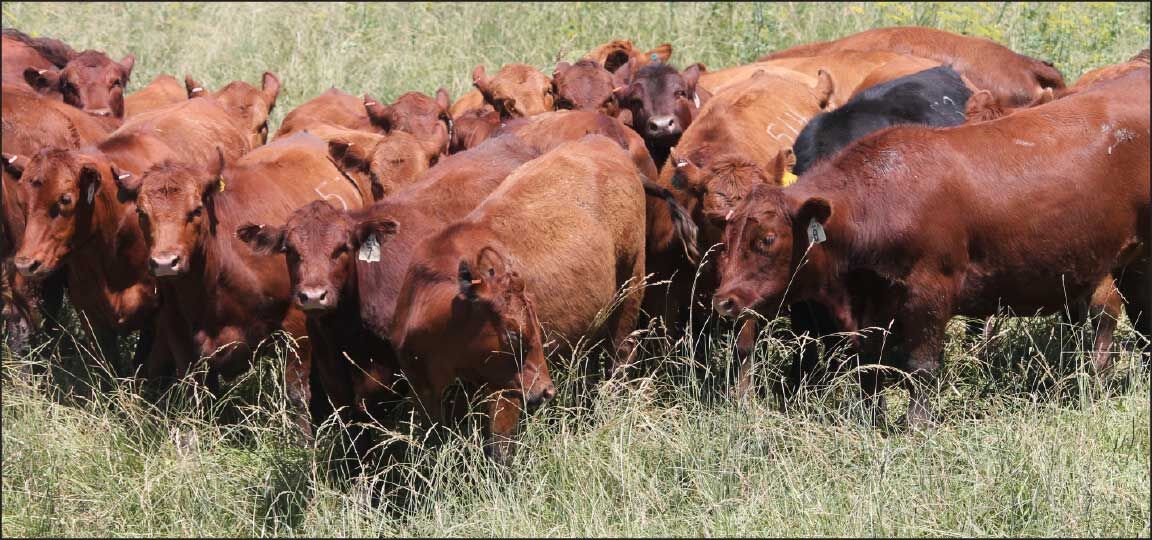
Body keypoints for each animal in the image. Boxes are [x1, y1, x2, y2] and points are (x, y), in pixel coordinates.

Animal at [391, 134, 647, 464]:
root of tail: (602, 143)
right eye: (513, 333)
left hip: (632, 283)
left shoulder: (505, 391)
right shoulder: (424, 391)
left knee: (621, 354)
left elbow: (500, 450)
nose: (546, 391)